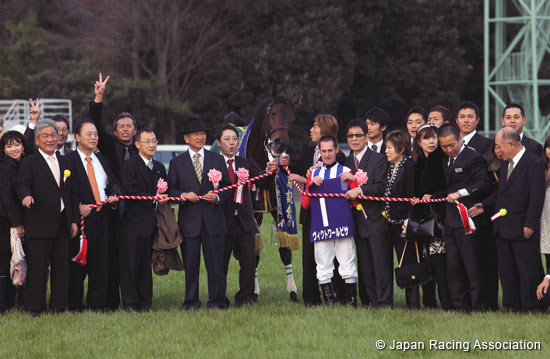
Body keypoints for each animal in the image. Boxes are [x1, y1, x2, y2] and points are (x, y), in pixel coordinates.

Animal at [248, 85, 304, 304]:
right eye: (272, 113)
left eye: (292, 118)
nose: (280, 143)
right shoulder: (253, 211)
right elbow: (254, 251)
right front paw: (253, 292)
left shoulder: (278, 205)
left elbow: (285, 249)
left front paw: (293, 291)